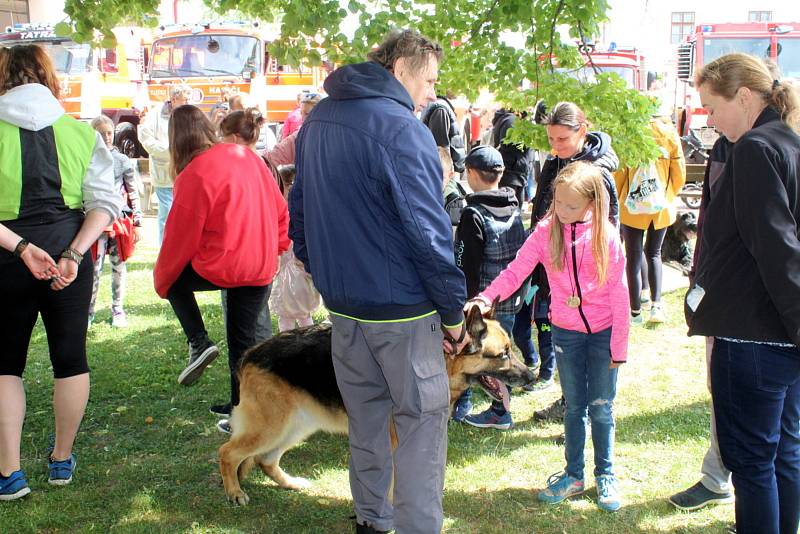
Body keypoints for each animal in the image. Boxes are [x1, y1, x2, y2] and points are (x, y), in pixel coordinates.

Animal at [216, 306, 536, 506]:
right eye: (503, 355)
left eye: (511, 350)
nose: (532, 377)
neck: (443, 359)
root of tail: (250, 354)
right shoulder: (395, 440)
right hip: (272, 426)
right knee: (228, 453)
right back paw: (234, 492)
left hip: (296, 426)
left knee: (264, 459)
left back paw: (291, 483)